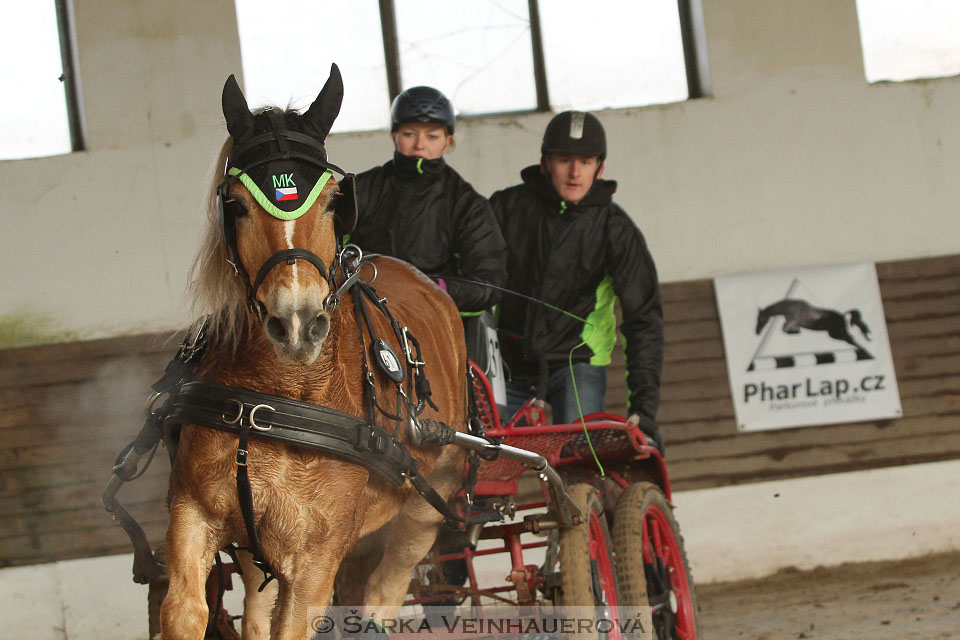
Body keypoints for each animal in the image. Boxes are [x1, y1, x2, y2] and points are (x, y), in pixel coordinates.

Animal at [159, 66, 466, 640]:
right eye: (235, 205)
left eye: (331, 202)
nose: (298, 323)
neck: (273, 401)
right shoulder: (194, 514)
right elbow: (185, 614)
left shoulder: (315, 563)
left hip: (426, 506)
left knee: (384, 591)